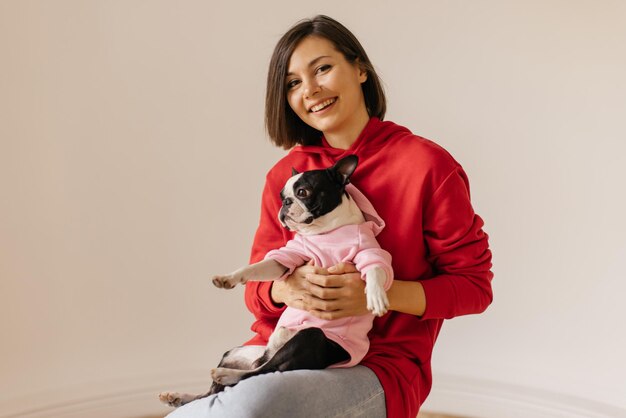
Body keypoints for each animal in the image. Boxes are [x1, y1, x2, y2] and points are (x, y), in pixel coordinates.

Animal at [161, 155, 392, 406]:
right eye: (282, 196)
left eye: (303, 192)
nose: (285, 203)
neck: (324, 232)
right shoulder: (287, 257)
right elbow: (257, 267)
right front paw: (227, 278)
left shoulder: (368, 250)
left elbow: (375, 269)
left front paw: (376, 298)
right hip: (236, 352)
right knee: (228, 384)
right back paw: (180, 395)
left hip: (311, 336)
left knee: (263, 371)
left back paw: (225, 375)